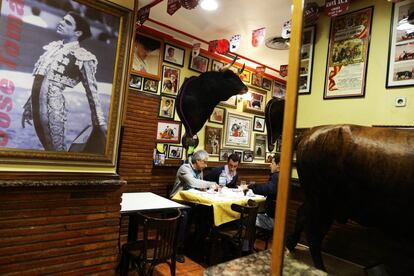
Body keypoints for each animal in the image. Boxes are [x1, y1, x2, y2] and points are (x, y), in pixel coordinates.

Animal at [264, 98, 414, 270]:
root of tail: (307, 135)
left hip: (318, 200)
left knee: (303, 217)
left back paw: (292, 246)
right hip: (324, 203)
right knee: (314, 233)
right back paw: (319, 268)